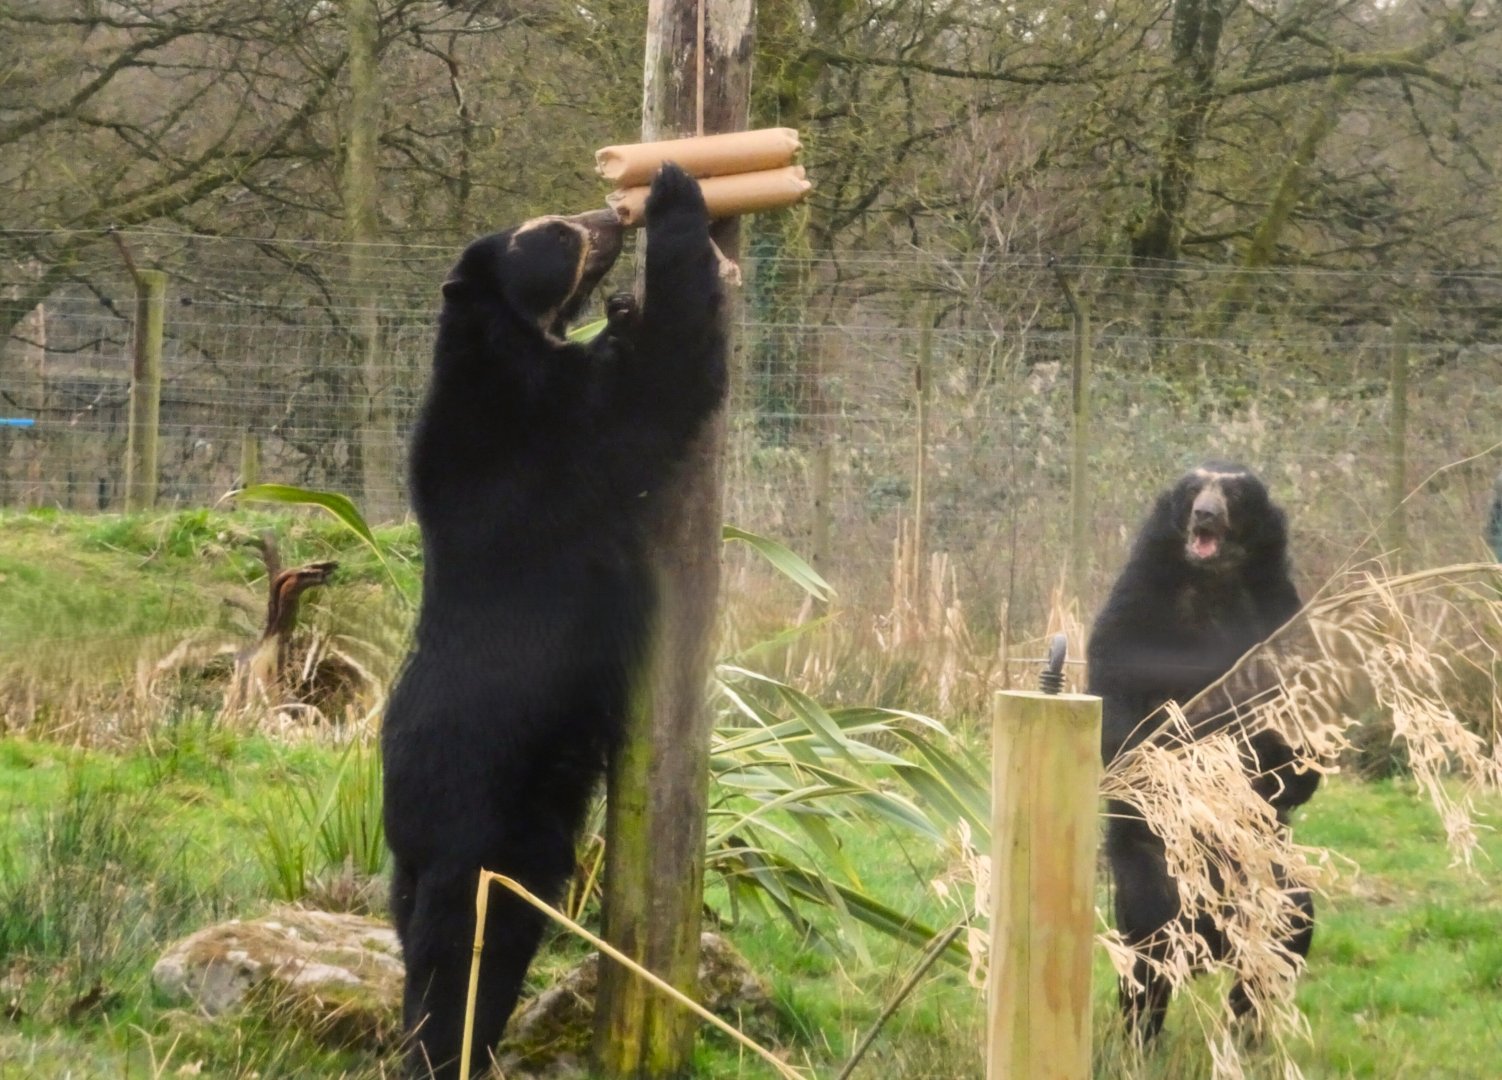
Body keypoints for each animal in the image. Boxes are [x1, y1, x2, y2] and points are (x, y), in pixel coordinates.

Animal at [380, 162, 727, 1079]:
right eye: (556, 234)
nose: (609, 217)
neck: (500, 341)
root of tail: (406, 831)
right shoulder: (549, 431)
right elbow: (659, 389)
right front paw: (677, 198)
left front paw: (629, 304)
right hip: (489, 829)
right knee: (466, 954)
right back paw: (447, 1051)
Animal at [1086, 461, 1319, 1043]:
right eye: (1193, 488)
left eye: (1233, 492)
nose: (1206, 514)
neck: (1212, 579)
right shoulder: (1139, 603)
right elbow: (1119, 688)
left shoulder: (1276, 612)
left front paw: (1290, 771)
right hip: (1153, 859)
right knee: (1149, 942)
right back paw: (1140, 1035)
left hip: (1266, 870)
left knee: (1291, 923)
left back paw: (1246, 1028)